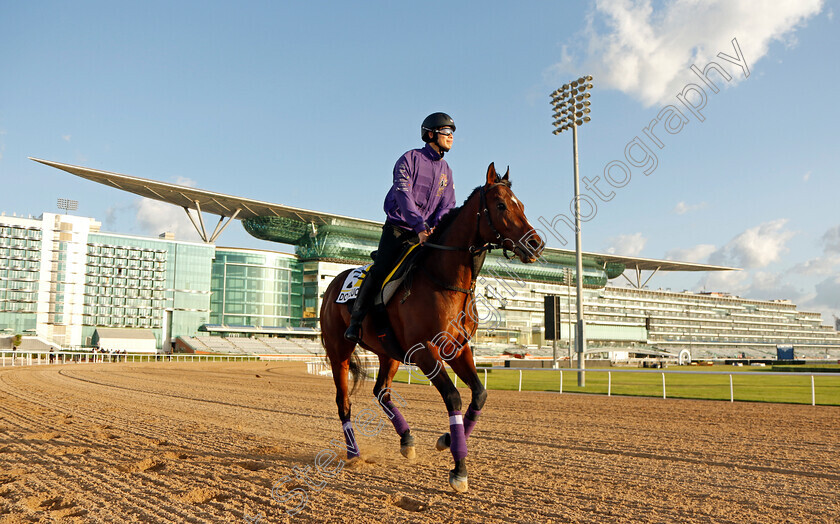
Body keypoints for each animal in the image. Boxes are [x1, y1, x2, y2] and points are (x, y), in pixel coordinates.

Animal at [320, 163, 544, 492]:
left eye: (522, 205)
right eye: (501, 205)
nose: (535, 244)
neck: (444, 280)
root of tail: (333, 283)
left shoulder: (458, 349)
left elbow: (479, 395)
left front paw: (447, 439)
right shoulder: (425, 351)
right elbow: (453, 396)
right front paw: (459, 469)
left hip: (389, 352)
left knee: (381, 391)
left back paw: (406, 440)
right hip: (340, 352)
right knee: (343, 401)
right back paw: (353, 454)